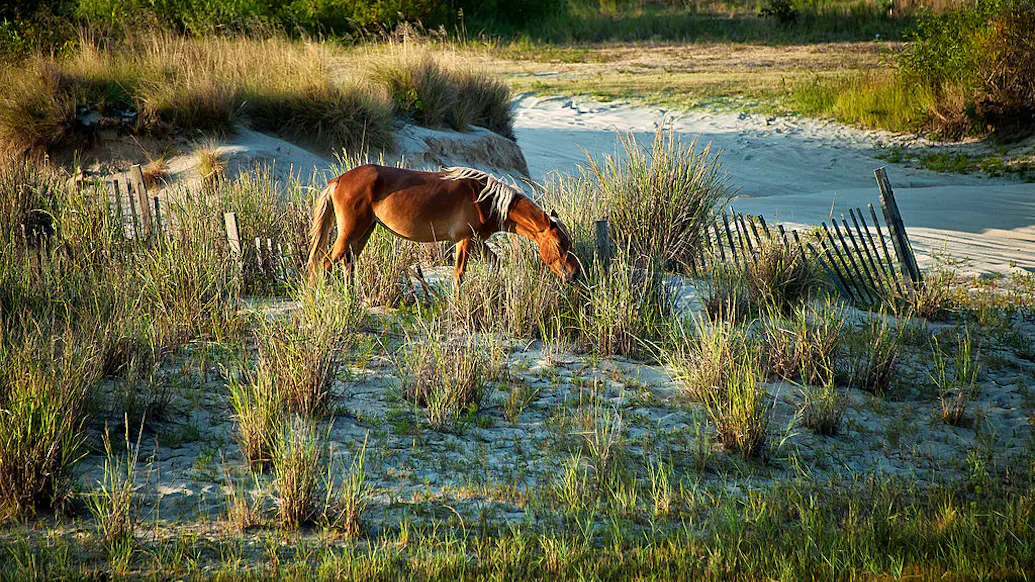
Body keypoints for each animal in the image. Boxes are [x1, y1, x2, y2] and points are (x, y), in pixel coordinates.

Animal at [306, 164, 582, 286]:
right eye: (560, 244)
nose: (574, 273)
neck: (485, 199)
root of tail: (339, 179)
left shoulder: (477, 242)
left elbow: (495, 262)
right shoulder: (465, 241)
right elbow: (459, 274)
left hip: (364, 231)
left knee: (348, 263)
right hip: (351, 231)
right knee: (325, 263)